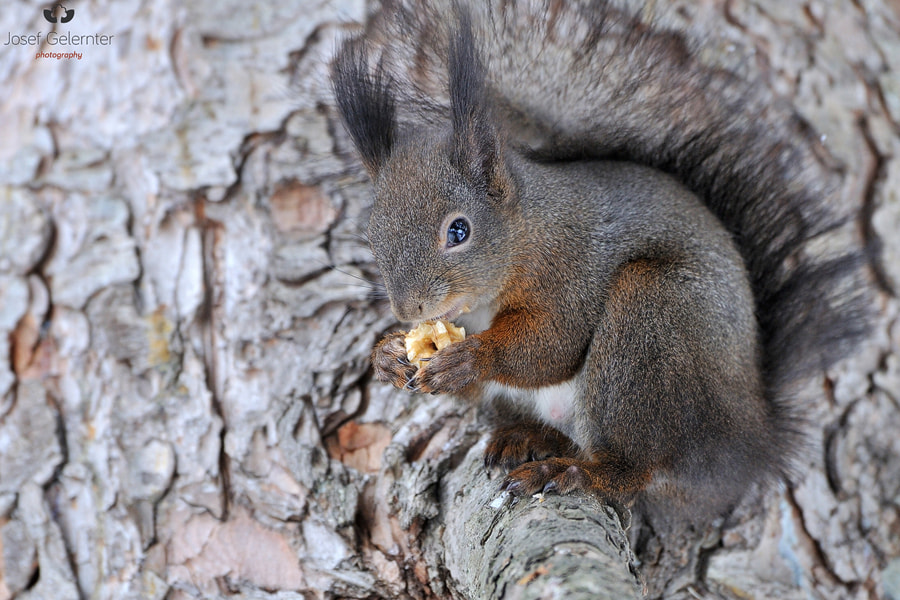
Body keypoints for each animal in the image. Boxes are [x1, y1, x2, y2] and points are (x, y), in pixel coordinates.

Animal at [330, 0, 873, 532]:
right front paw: (386, 354)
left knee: (632, 470)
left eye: (458, 231)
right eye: (371, 236)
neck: (527, 232)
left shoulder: (572, 267)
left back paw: (573, 473)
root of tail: (747, 443)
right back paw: (531, 438)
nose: (408, 310)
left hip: (650, 320)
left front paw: (470, 358)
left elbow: (553, 344)